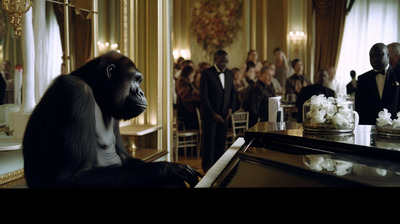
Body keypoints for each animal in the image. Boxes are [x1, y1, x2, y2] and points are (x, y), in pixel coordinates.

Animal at [21, 50, 202, 187]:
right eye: (135, 79)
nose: (141, 92)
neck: (95, 89)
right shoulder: (76, 92)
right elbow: (72, 177)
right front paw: (167, 170)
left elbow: (123, 156)